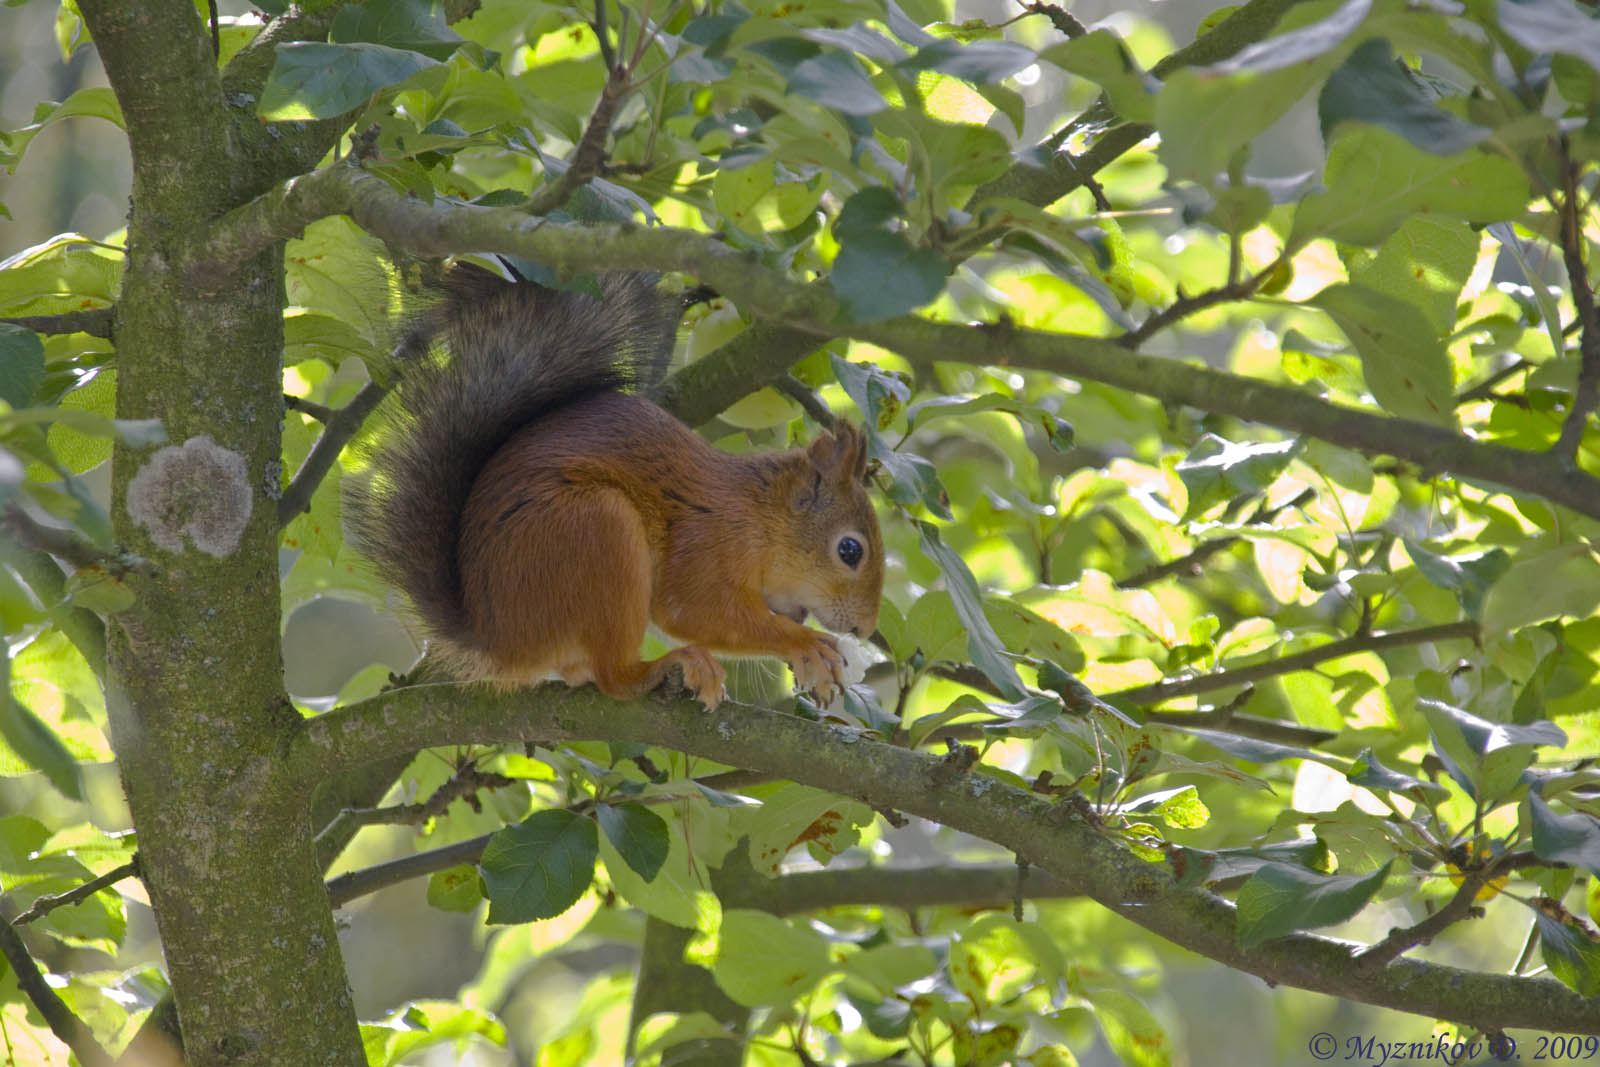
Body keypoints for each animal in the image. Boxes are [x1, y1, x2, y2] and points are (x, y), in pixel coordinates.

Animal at [345, 263, 889, 710]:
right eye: (849, 550)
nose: (863, 629)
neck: (758, 514)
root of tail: (495, 638)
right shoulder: (706, 545)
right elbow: (695, 611)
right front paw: (805, 644)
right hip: (596, 532)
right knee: (613, 677)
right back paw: (665, 667)